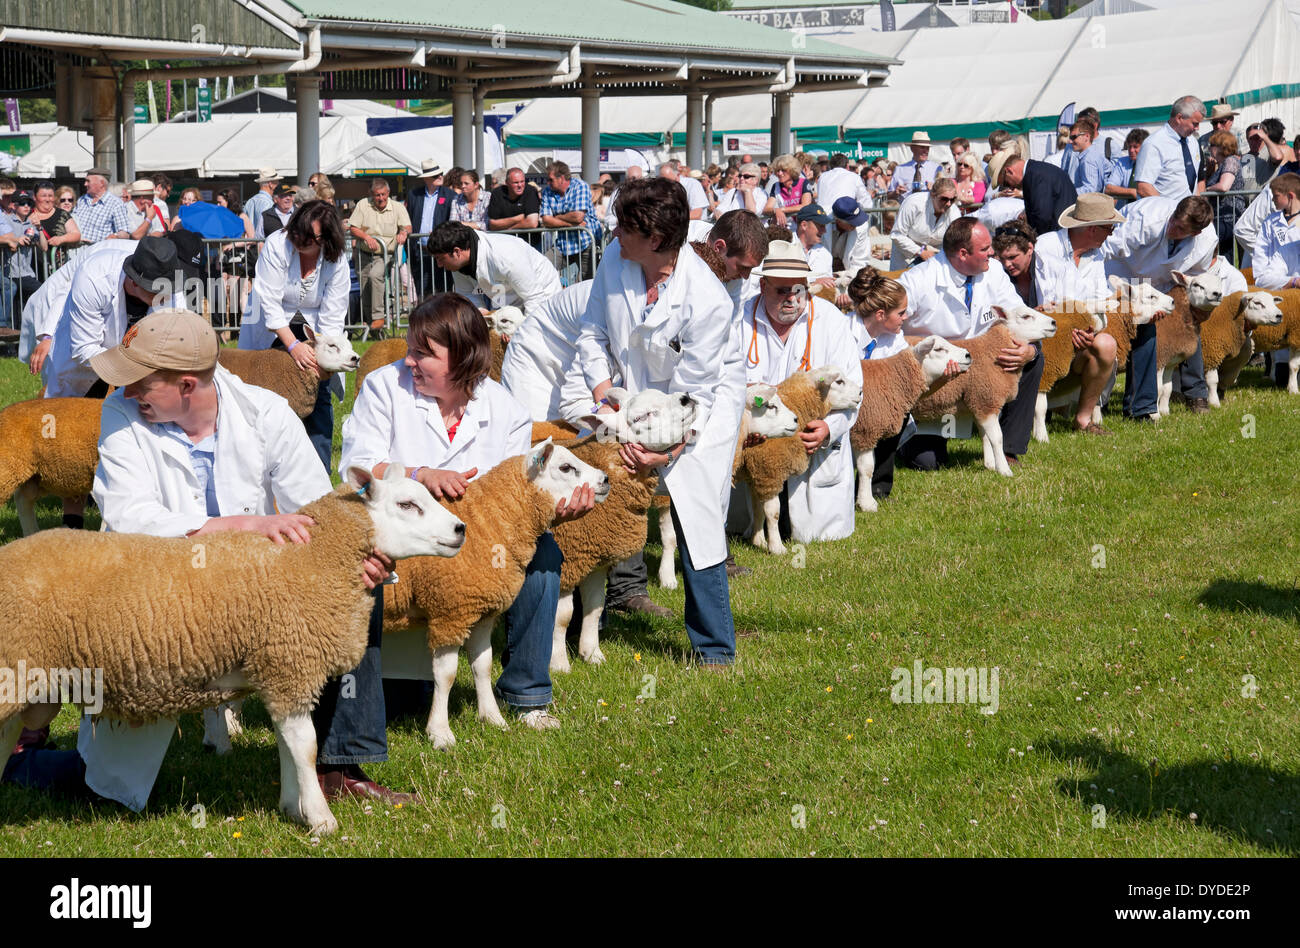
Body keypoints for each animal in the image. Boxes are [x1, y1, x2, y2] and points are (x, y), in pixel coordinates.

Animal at [0, 462, 467, 832]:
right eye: (407, 505)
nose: (460, 530)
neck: (312, 558)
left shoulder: (276, 668)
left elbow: (287, 743)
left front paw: (293, 809)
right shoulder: (290, 661)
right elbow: (306, 745)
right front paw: (321, 820)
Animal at [847, 332, 972, 509]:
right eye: (938, 349)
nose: (968, 355)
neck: (893, 379)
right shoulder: (866, 429)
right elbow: (867, 468)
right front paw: (867, 503)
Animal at [909, 306, 1060, 475]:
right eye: (1026, 316)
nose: (1053, 323)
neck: (991, 351)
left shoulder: (979, 403)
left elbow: (986, 436)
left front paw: (990, 465)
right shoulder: (987, 400)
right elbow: (997, 438)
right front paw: (1004, 470)